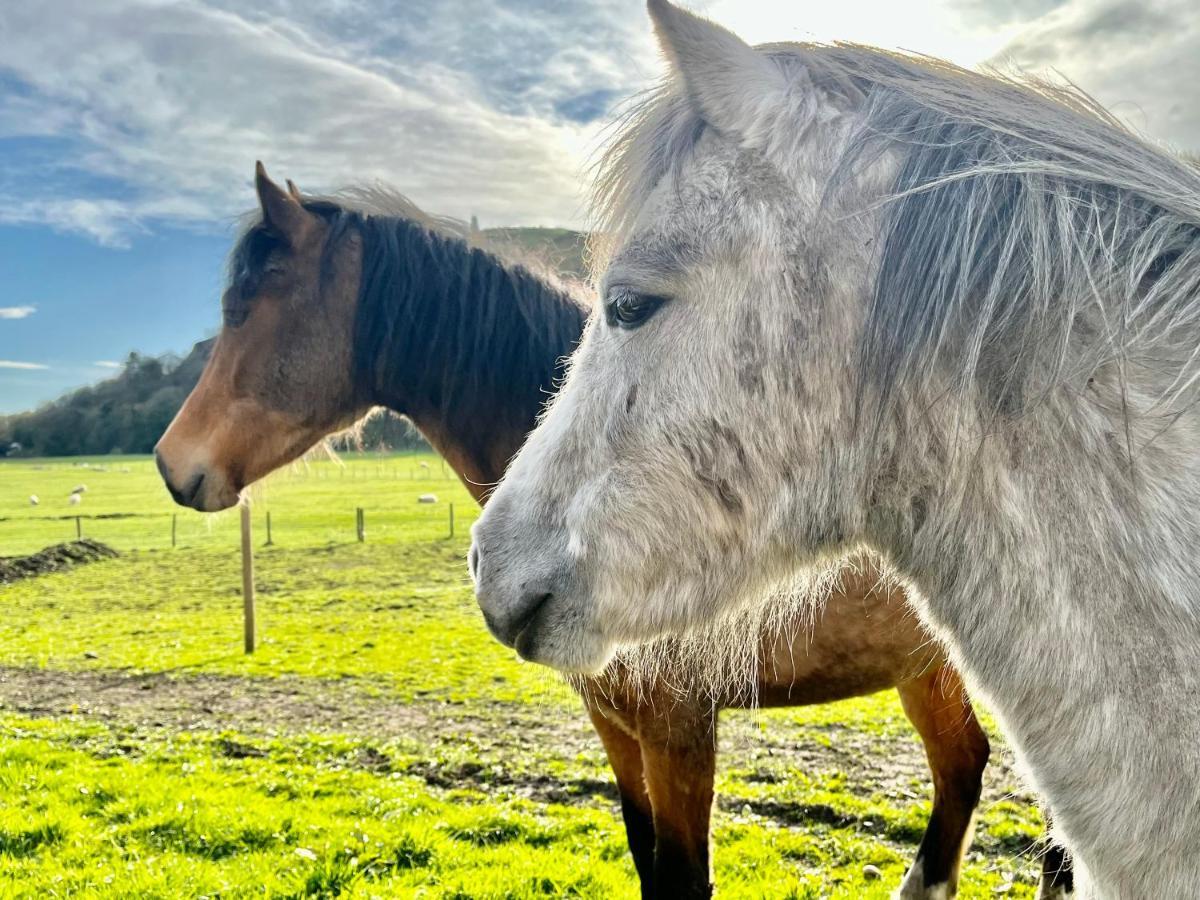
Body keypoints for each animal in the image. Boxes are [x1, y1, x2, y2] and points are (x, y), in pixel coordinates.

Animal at [152, 165, 1070, 897]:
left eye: (248, 304)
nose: (171, 463)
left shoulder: (678, 727)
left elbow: (683, 877)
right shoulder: (613, 721)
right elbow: (645, 860)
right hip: (928, 668)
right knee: (964, 771)